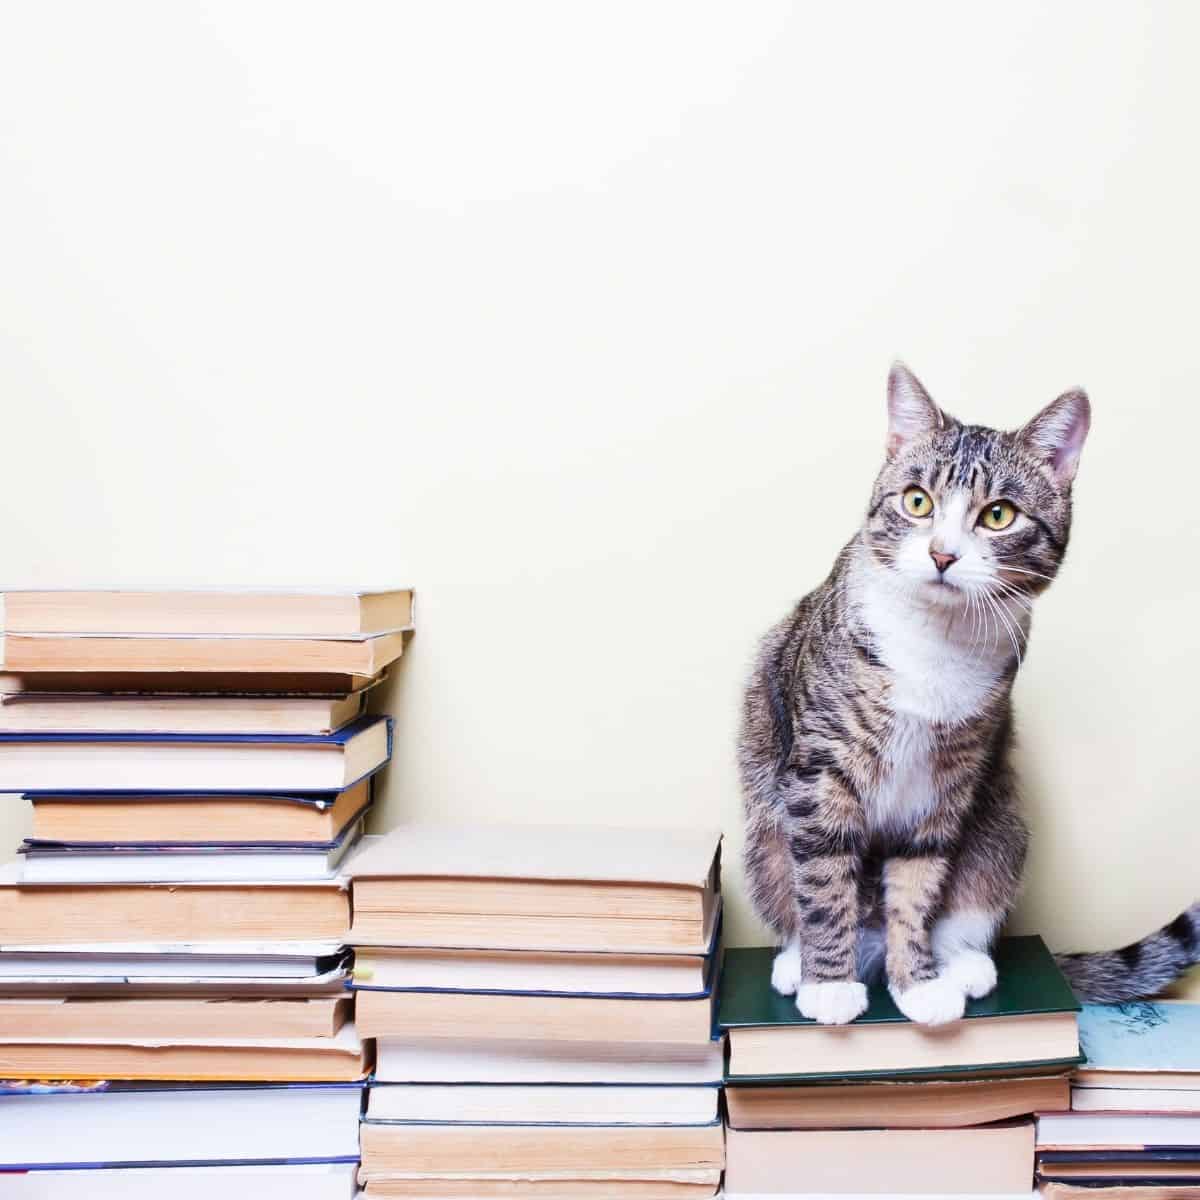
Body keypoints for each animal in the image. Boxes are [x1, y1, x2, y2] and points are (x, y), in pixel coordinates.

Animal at [739, 364, 1200, 1022]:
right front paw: (828, 984)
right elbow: (826, 875)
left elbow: (918, 882)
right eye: (916, 501)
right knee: (796, 880)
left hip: (1001, 828)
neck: (938, 639)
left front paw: (918, 983)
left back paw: (960, 964)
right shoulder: (820, 769)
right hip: (765, 828)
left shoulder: (950, 777)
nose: (942, 554)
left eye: (999, 515)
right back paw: (797, 963)